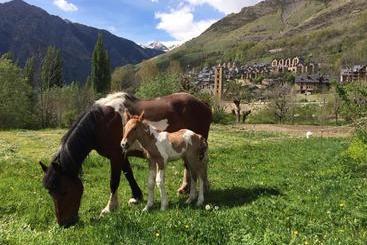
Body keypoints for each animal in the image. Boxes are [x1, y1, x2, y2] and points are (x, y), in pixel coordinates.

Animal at [39, 92, 213, 226]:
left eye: (64, 191)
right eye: (50, 192)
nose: (64, 224)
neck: (102, 121)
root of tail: (203, 104)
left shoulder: (115, 156)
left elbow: (114, 181)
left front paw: (109, 207)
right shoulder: (121, 155)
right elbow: (129, 174)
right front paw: (137, 197)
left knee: (199, 168)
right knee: (189, 168)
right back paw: (185, 189)